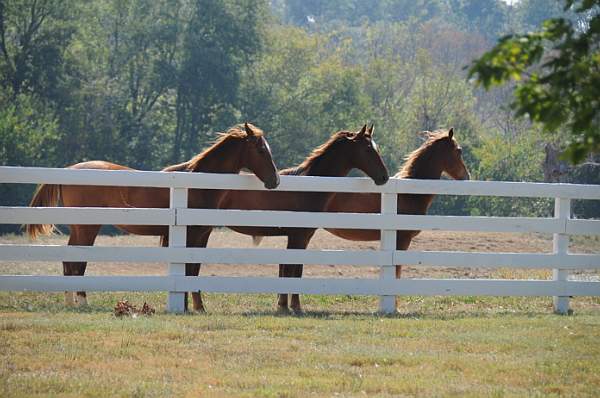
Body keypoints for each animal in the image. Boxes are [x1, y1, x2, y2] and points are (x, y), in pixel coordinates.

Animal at [27, 123, 280, 306]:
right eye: (260, 149)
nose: (275, 181)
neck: (198, 184)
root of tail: (70, 170)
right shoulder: (192, 234)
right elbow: (189, 270)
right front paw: (191, 306)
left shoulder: (201, 235)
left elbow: (193, 269)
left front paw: (193, 306)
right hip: (87, 228)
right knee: (76, 262)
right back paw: (81, 302)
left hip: (80, 229)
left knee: (69, 261)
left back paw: (71, 302)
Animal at [188, 123, 392, 312]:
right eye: (368, 149)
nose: (384, 177)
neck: (309, 188)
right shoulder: (298, 236)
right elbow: (292, 270)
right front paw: (292, 306)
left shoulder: (302, 237)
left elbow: (293, 270)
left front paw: (285, 305)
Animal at [324, 127, 468, 310]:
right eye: (459, 151)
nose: (466, 176)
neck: (410, 194)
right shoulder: (401, 240)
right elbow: (397, 272)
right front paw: (396, 306)